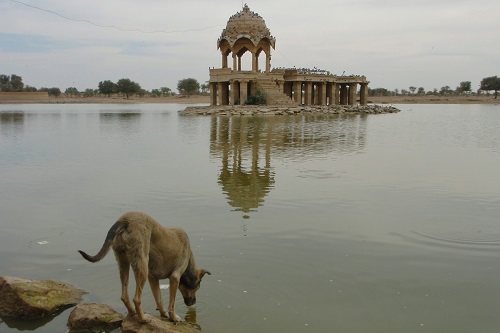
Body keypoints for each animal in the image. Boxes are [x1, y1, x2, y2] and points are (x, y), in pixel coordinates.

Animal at [78, 210, 211, 322]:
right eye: (198, 287)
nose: (193, 303)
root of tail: (125, 220)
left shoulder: (153, 278)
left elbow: (159, 299)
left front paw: (163, 314)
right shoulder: (175, 277)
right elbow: (171, 303)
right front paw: (173, 317)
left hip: (123, 262)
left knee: (124, 295)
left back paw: (132, 313)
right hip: (142, 266)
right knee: (137, 299)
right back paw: (143, 319)